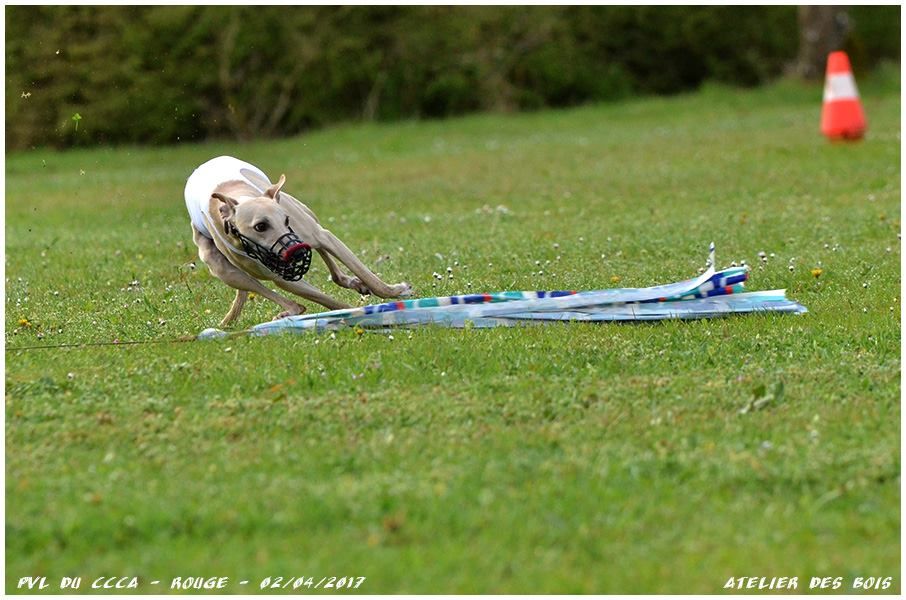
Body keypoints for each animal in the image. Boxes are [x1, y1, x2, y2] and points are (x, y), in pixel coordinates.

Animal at [185, 156, 411, 327]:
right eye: (260, 226)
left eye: (286, 220)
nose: (297, 251)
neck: (241, 196)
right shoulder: (278, 274)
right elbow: (328, 301)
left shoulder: (322, 237)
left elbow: (368, 276)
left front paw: (395, 291)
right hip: (223, 269)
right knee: (274, 294)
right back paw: (291, 311)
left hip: (307, 216)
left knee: (332, 268)